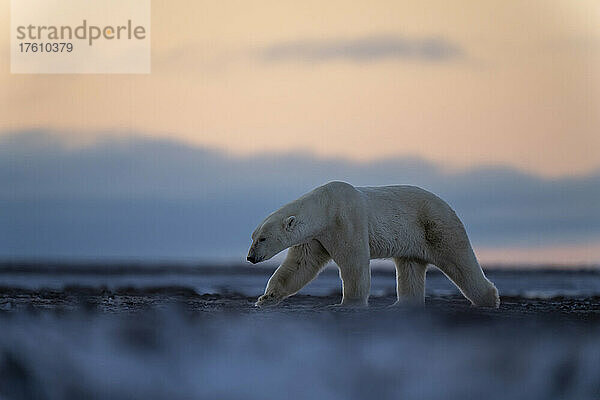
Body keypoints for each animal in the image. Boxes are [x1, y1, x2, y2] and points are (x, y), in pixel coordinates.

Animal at [246, 182, 500, 310]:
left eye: (263, 239)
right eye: (253, 237)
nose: (250, 258)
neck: (324, 206)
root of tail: (447, 205)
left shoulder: (345, 220)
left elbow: (353, 263)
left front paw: (348, 303)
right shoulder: (316, 237)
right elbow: (299, 266)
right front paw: (266, 298)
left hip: (435, 225)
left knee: (459, 259)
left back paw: (490, 300)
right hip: (412, 239)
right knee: (410, 267)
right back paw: (401, 306)